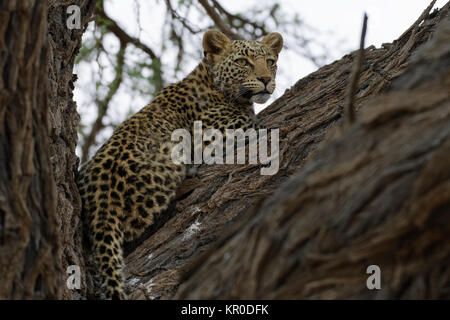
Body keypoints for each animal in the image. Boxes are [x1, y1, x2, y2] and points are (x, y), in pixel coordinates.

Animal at [76, 28, 284, 298]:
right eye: (242, 62)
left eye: (270, 61)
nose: (266, 79)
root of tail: (100, 199)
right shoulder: (215, 134)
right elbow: (256, 124)